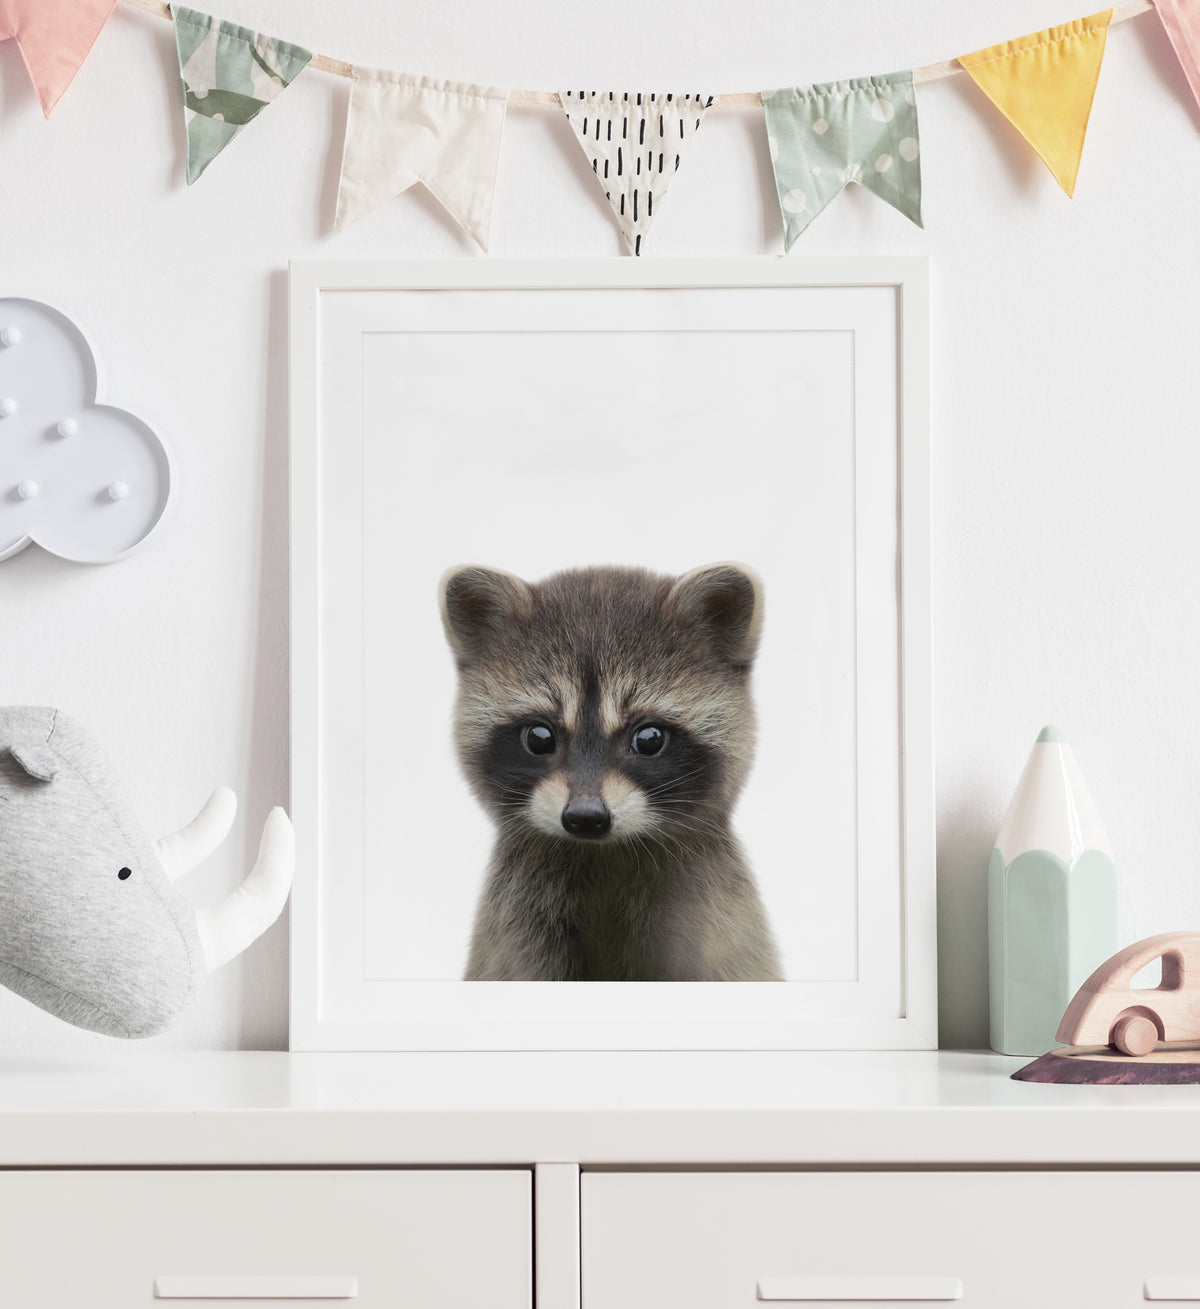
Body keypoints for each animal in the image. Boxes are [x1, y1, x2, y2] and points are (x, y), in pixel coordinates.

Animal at [439, 562, 783, 982]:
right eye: (539, 737)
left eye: (649, 739)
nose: (585, 817)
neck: (602, 854)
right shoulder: (519, 927)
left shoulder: (720, 928)